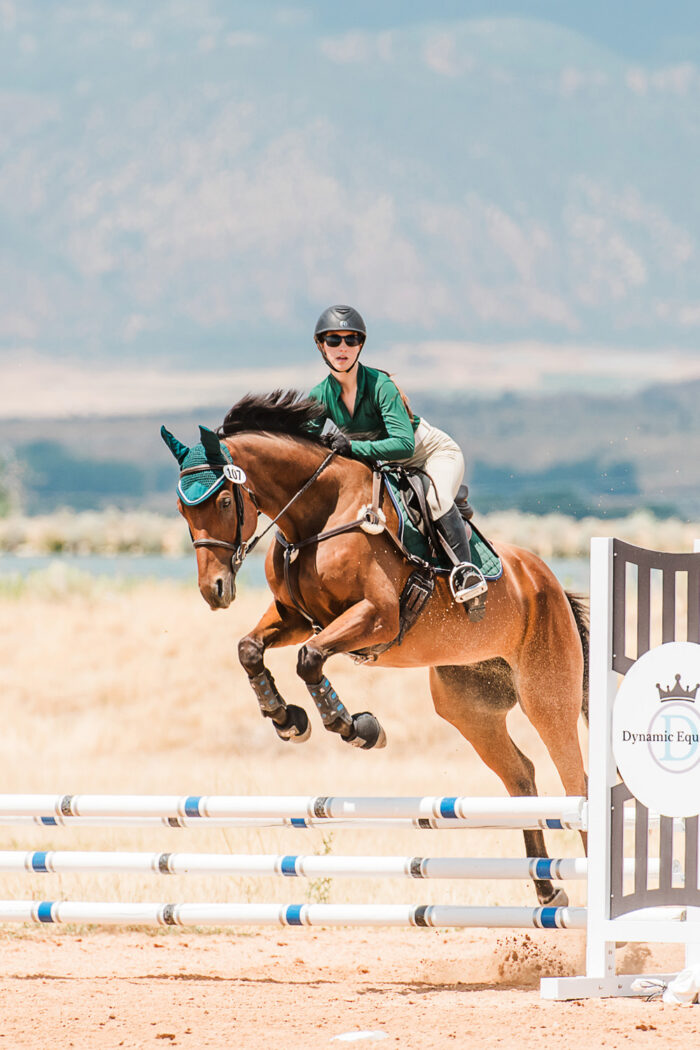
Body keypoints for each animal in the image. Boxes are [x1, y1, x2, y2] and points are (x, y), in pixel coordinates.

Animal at [162, 390, 589, 907]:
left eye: (225, 499)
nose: (215, 591)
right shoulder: (296, 618)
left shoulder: (376, 617)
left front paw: (357, 728)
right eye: (182, 510)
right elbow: (250, 650)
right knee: (521, 776)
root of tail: (548, 581)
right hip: (468, 706)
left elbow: (309, 660)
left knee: (577, 781)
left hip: (547, 696)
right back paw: (547, 888)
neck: (317, 516)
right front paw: (288, 719)